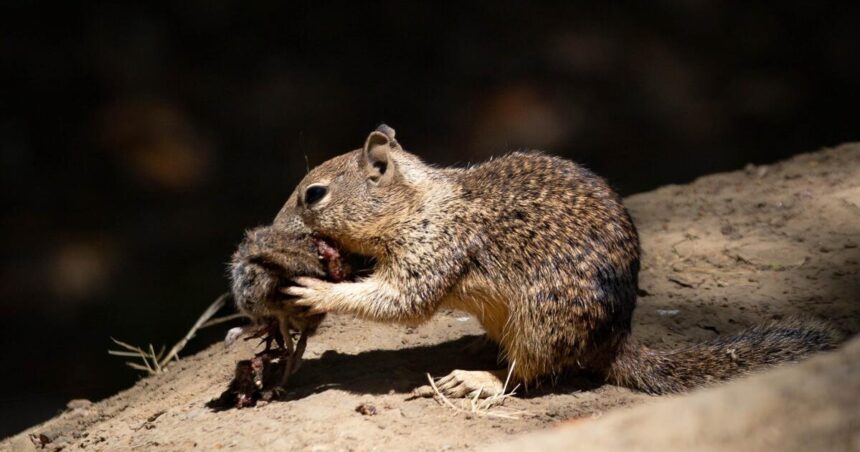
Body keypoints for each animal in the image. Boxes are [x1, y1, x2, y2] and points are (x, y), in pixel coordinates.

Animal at [264, 125, 840, 398]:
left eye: (313, 194)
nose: (272, 226)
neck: (418, 203)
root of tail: (614, 341)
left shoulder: (435, 247)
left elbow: (401, 300)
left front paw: (316, 291)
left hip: (542, 321)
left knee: (529, 373)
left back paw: (478, 378)